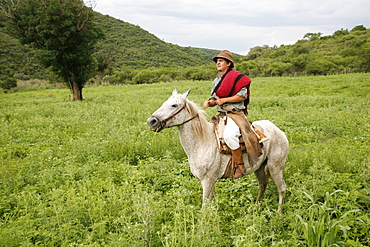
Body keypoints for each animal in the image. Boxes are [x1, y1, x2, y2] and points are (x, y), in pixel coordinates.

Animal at [147, 89, 290, 212]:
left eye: (174, 105)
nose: (151, 121)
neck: (202, 142)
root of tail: (279, 131)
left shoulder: (208, 181)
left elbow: (205, 206)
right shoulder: (210, 182)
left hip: (275, 167)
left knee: (282, 188)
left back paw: (279, 213)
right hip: (259, 167)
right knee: (263, 184)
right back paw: (255, 206)